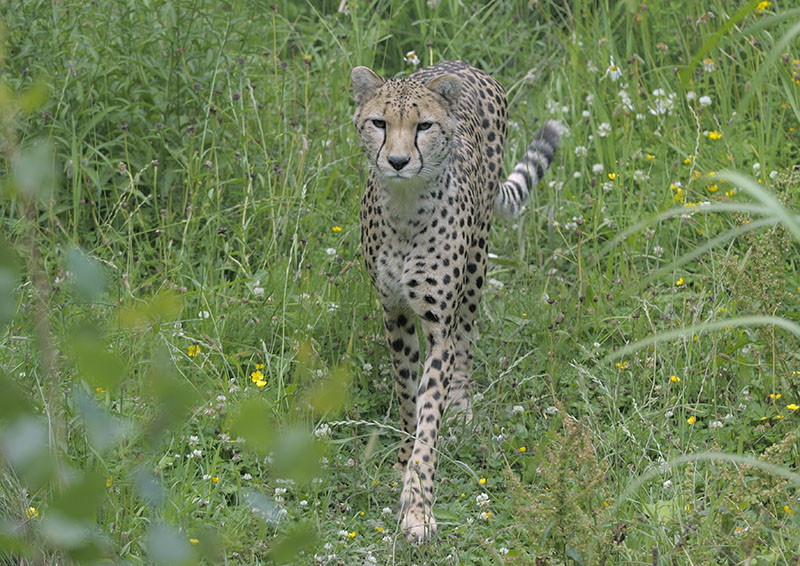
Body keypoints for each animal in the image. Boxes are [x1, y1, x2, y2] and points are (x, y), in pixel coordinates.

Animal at [351, 60, 563, 543]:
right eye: (379, 123)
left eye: (424, 126)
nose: (397, 161)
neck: (405, 208)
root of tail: (463, 66)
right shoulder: (394, 313)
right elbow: (408, 395)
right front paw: (403, 461)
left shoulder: (438, 326)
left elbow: (430, 412)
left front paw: (418, 509)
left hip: (478, 260)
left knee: (467, 333)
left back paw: (462, 407)